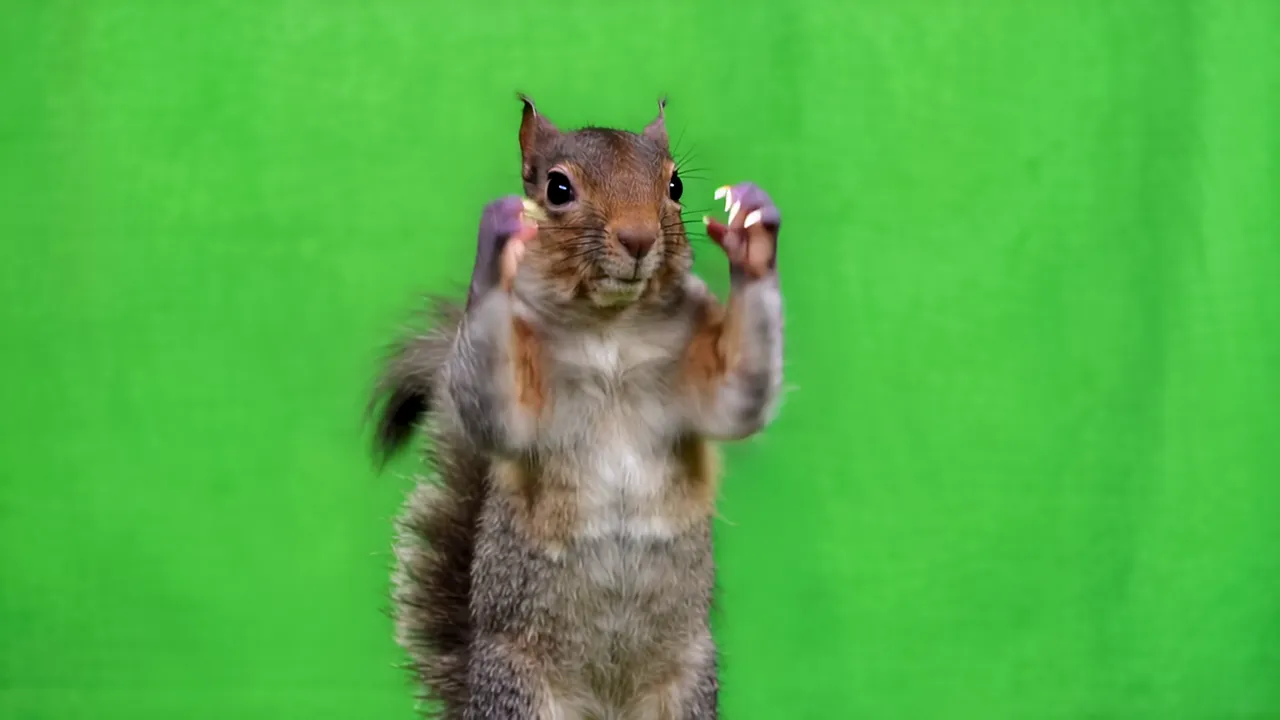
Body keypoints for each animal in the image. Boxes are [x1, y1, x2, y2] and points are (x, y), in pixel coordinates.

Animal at [371, 95, 785, 720]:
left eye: (676, 185)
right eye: (557, 189)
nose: (638, 238)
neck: (610, 330)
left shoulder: (698, 381)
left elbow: (740, 397)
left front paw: (752, 234)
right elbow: (491, 412)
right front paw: (496, 250)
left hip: (686, 691)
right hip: (521, 694)